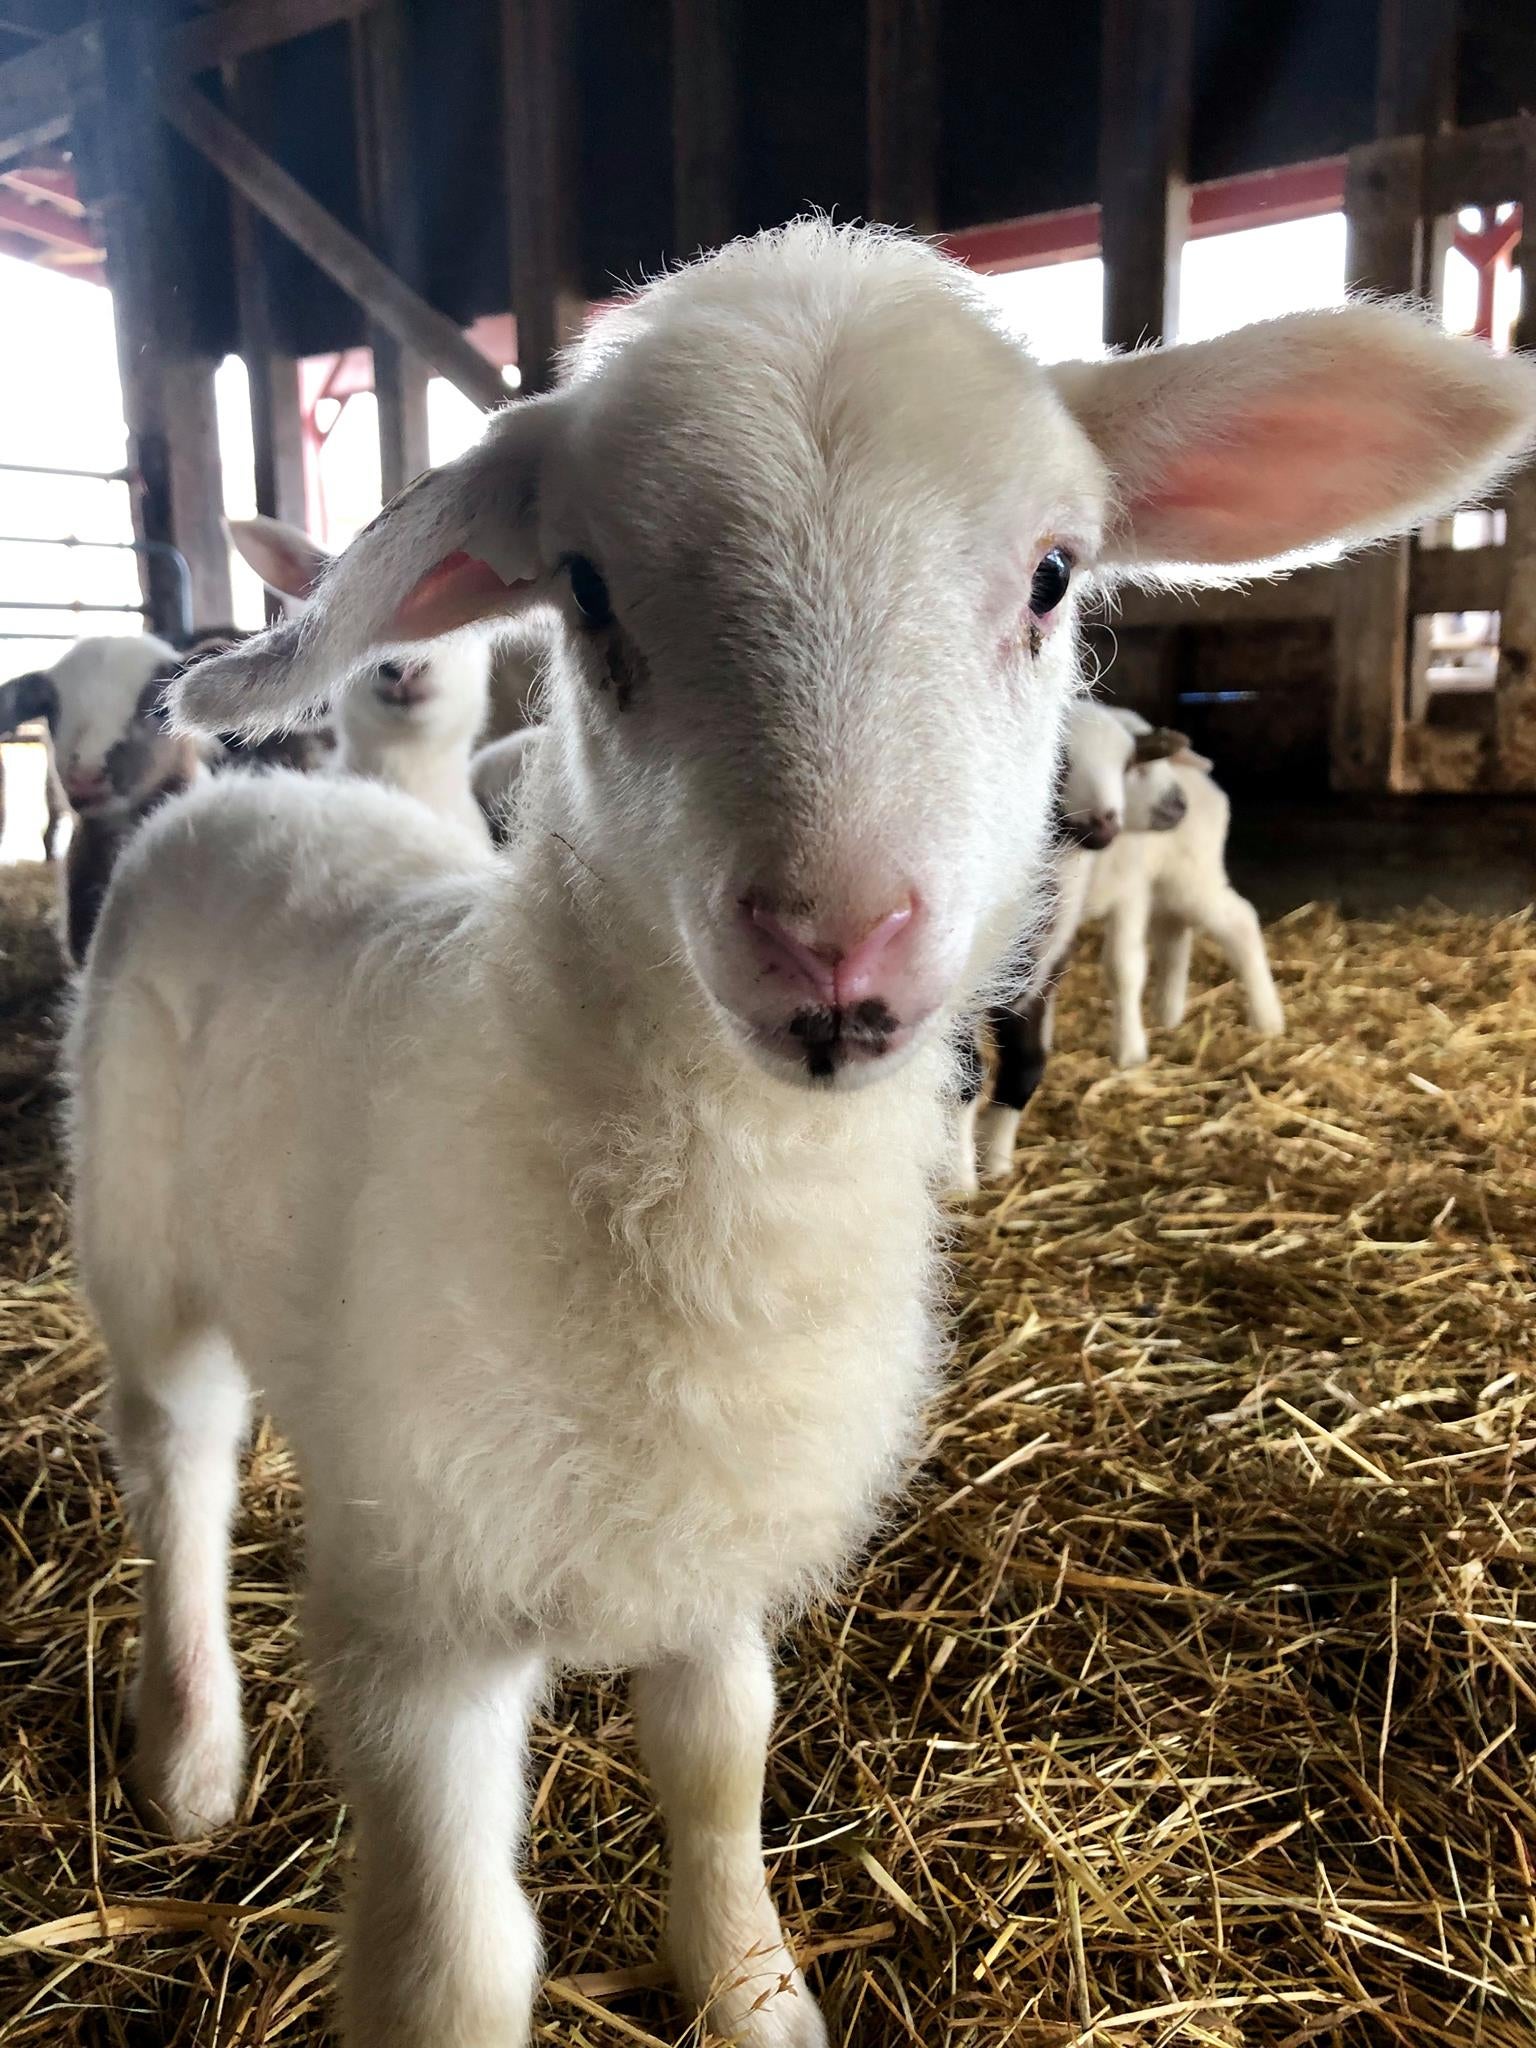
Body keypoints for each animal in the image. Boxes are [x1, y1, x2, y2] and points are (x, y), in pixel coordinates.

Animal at [66, 224, 1531, 2048]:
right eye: (586, 588)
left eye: (1054, 575)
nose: (835, 950)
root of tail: (263, 791)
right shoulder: (423, 1619)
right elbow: (459, 1963)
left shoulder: (719, 1541)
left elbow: (720, 1767)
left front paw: (754, 1991)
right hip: (138, 1231)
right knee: (178, 1466)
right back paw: (190, 1750)